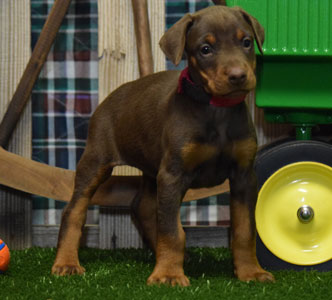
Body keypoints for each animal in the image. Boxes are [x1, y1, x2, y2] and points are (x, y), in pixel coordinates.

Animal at [52, 5, 274, 286]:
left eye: (246, 42)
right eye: (205, 49)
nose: (238, 76)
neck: (217, 110)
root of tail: (109, 97)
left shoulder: (244, 176)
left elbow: (245, 229)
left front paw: (250, 271)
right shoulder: (173, 174)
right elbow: (171, 231)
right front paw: (168, 274)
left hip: (151, 168)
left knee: (143, 206)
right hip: (96, 160)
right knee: (74, 210)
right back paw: (67, 262)